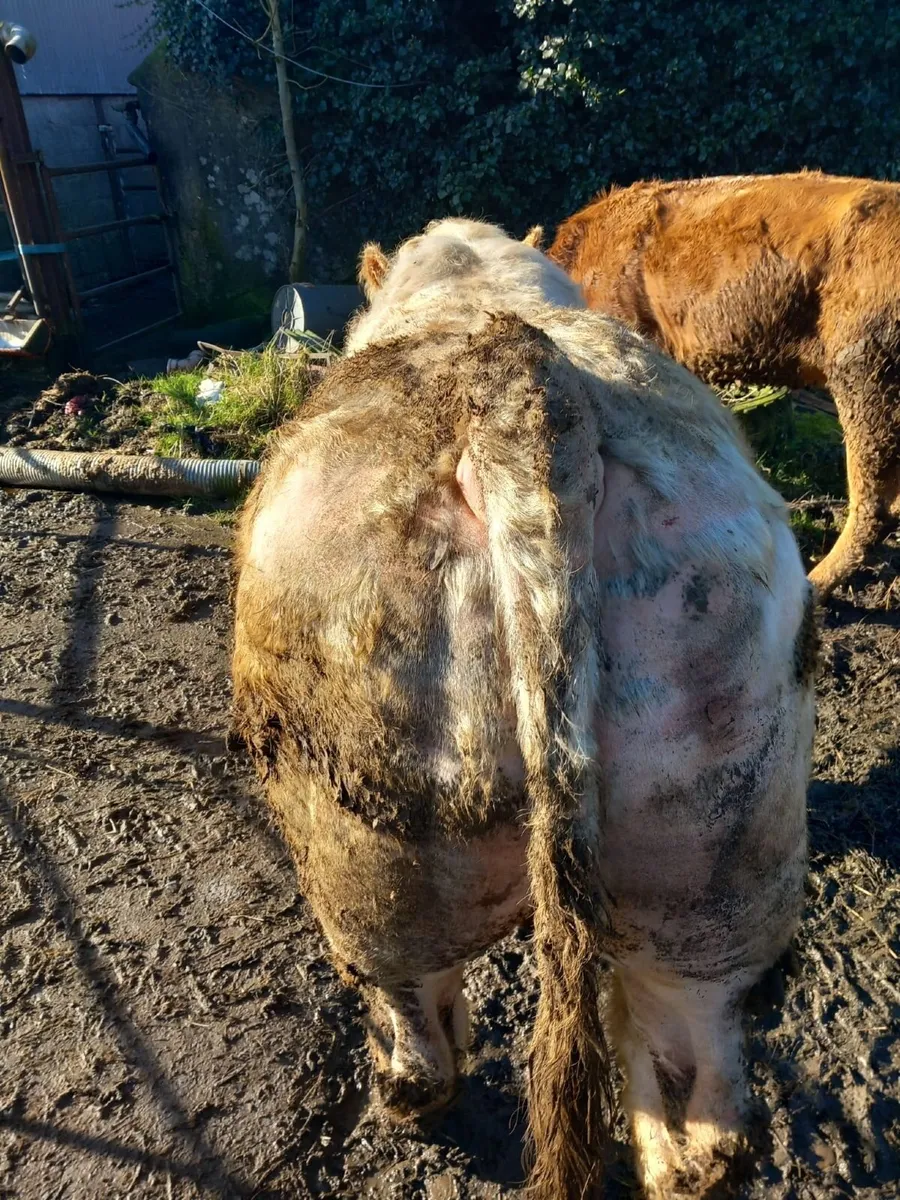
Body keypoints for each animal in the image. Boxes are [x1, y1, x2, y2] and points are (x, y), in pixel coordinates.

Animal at [232, 218, 815, 1199]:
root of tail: (525, 395)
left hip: (369, 844)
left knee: (415, 1021)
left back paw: (402, 1089)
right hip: (718, 826)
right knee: (700, 1066)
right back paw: (670, 1152)